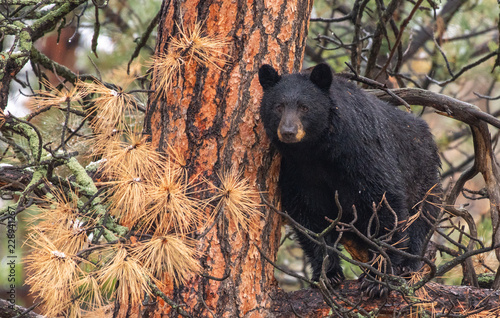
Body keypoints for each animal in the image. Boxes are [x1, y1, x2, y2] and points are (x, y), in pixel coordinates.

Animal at [260, 62, 440, 298]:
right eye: (279, 106)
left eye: (304, 107)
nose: (288, 131)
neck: (317, 149)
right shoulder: (296, 169)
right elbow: (308, 214)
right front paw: (327, 274)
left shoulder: (360, 150)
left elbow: (383, 200)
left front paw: (378, 279)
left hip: (423, 175)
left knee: (421, 216)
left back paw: (409, 265)